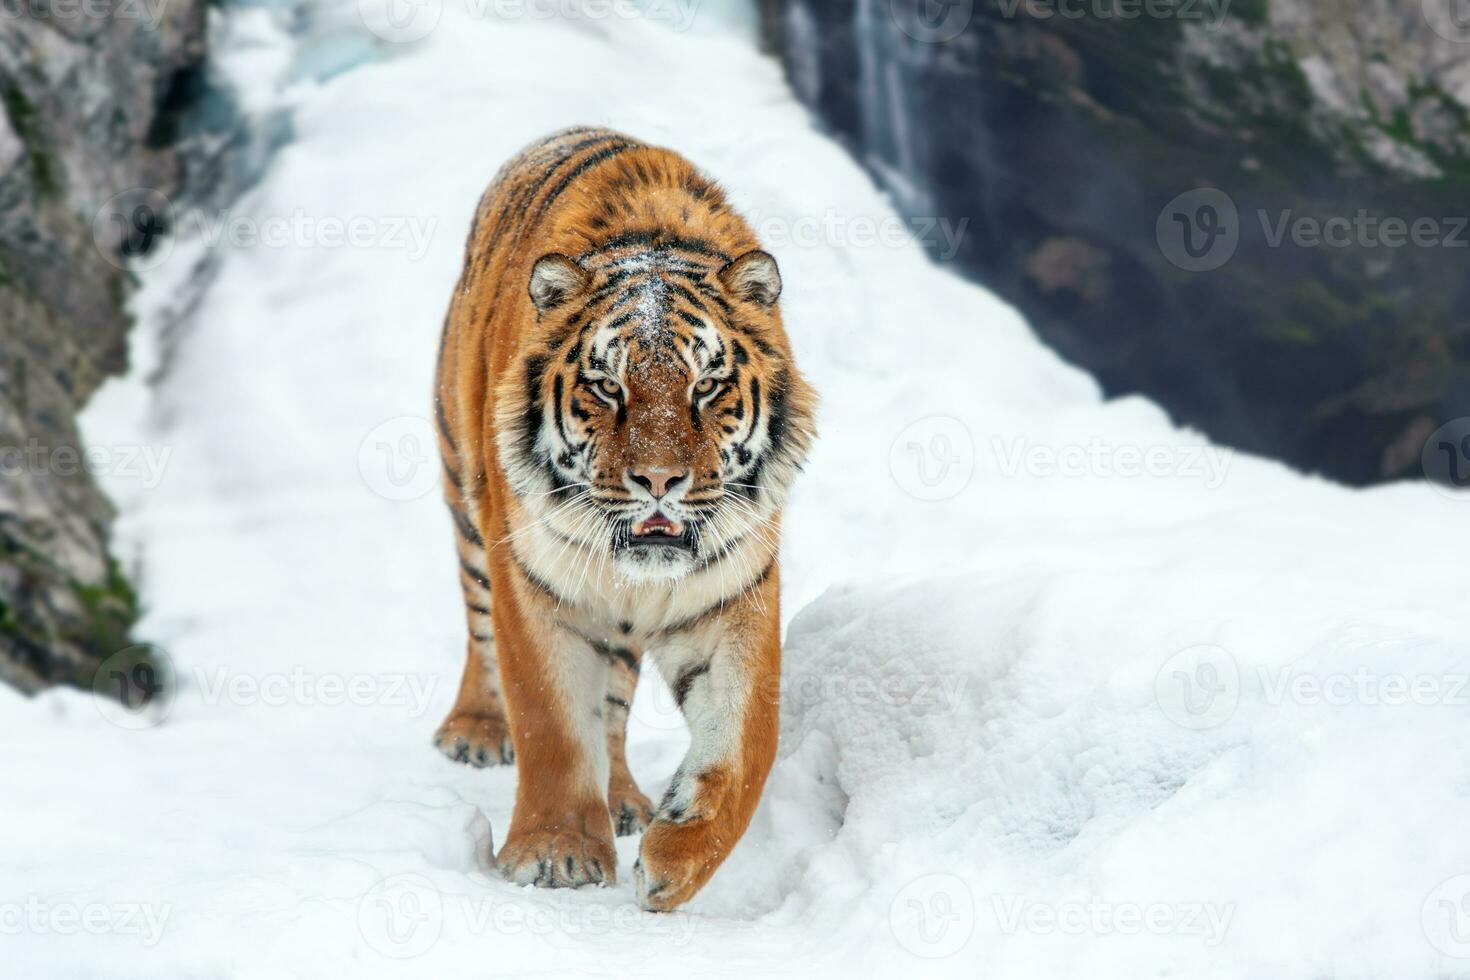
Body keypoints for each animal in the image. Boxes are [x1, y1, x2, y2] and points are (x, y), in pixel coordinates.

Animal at [429, 128, 817, 910]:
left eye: (708, 385)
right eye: (608, 387)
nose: (659, 480)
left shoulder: (733, 590)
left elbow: (746, 743)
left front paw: (676, 859)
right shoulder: (534, 579)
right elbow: (551, 721)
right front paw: (554, 855)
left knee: (611, 707)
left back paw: (627, 803)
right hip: (465, 496)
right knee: (480, 632)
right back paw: (476, 731)